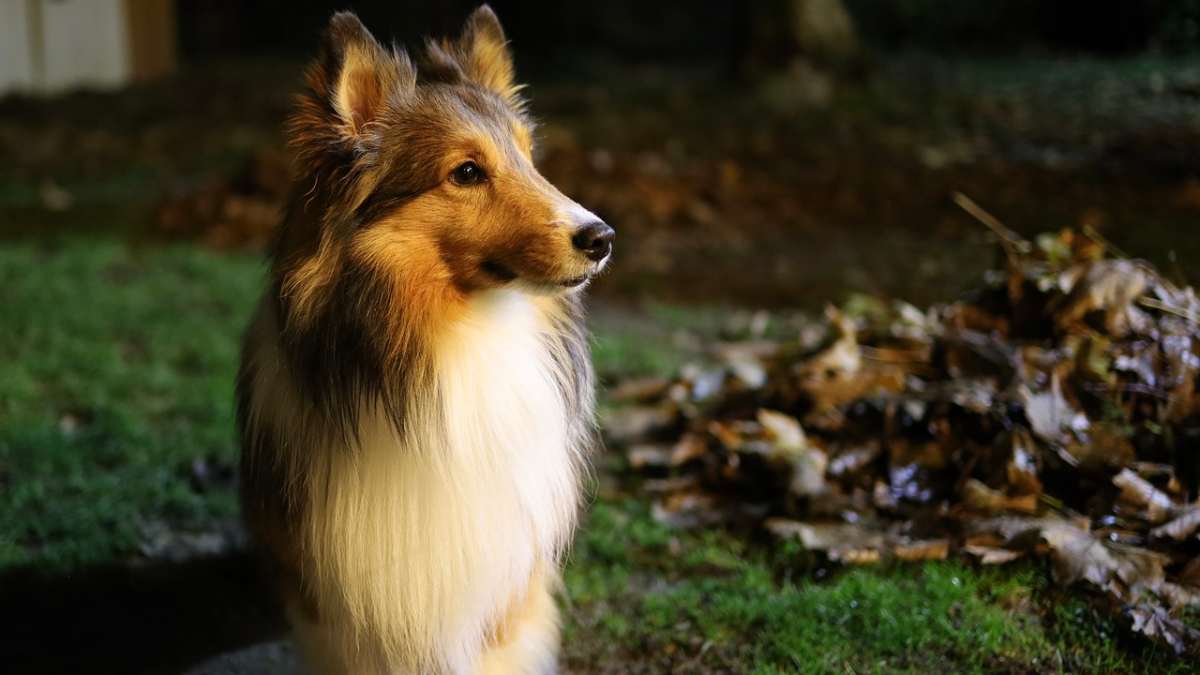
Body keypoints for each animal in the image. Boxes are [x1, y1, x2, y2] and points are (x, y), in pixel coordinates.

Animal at [235, 7, 614, 667]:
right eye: (466, 172)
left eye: (529, 159)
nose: (602, 238)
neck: (460, 337)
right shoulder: (338, 611)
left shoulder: (502, 596)